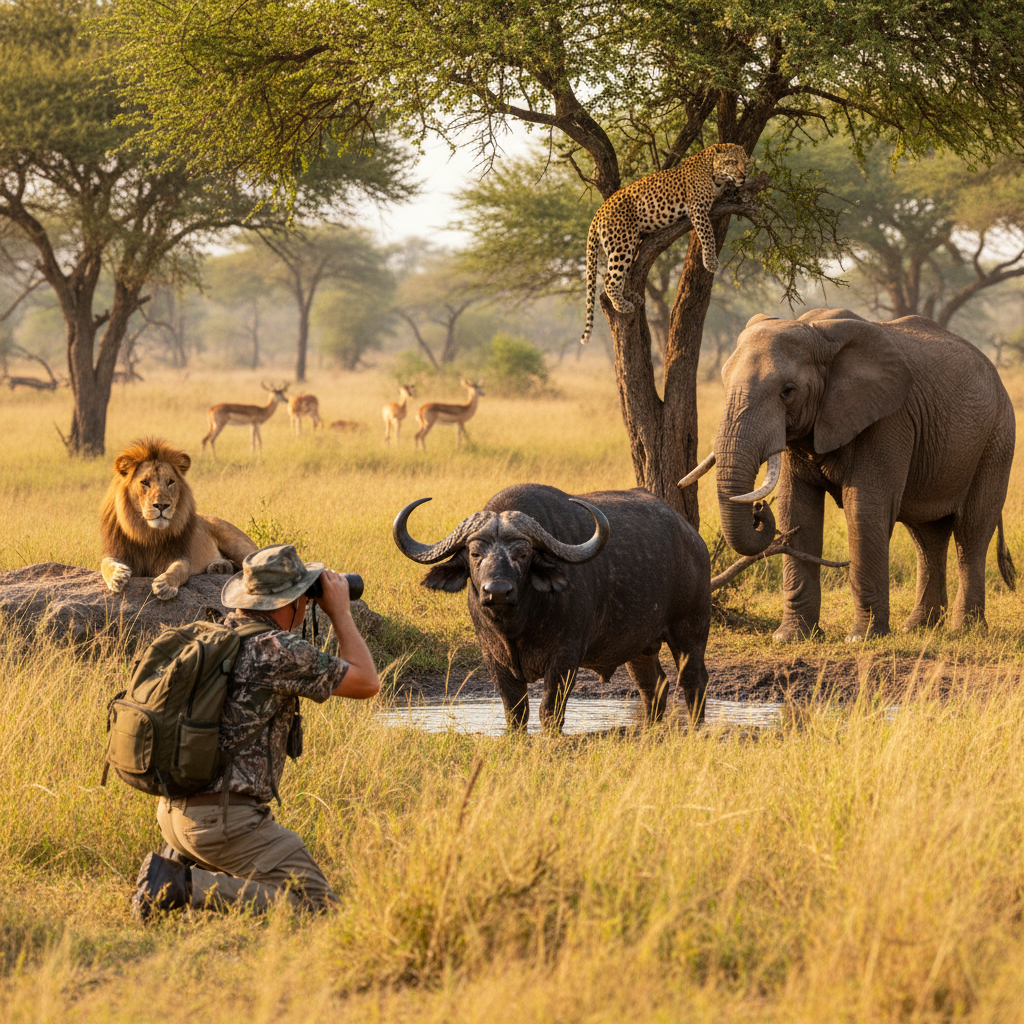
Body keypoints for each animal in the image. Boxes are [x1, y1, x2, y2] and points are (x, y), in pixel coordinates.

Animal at [393, 483, 711, 732]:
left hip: (689, 631)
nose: (497, 591)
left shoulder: (565, 657)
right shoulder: (493, 657)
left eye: (522, 553)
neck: (517, 626)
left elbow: (550, 710)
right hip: (639, 647)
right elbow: (516, 713)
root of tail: (692, 538)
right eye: (475, 553)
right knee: (654, 686)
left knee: (693, 681)